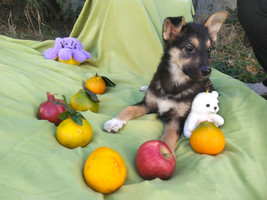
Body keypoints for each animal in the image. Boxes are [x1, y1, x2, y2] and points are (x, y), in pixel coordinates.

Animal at [103, 11, 229, 152]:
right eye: (189, 48)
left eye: (209, 50)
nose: (207, 71)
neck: (173, 83)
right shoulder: (147, 103)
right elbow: (129, 108)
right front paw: (115, 121)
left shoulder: (177, 118)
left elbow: (169, 136)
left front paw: (165, 152)